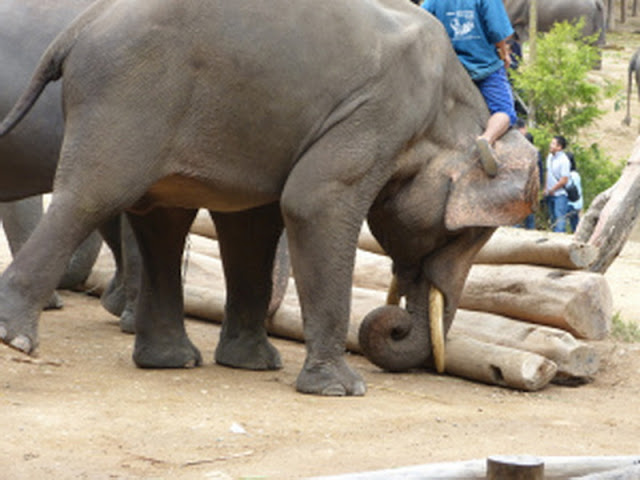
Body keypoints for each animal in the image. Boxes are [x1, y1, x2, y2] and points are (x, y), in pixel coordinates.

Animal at [0, 0, 540, 396]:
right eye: (467, 235)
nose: (397, 327)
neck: (457, 102)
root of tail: (82, 25)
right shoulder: (379, 113)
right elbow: (310, 203)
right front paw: (342, 390)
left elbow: (254, 224)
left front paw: (255, 366)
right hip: (126, 97)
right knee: (91, 197)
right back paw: (16, 339)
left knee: (161, 221)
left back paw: (169, 362)